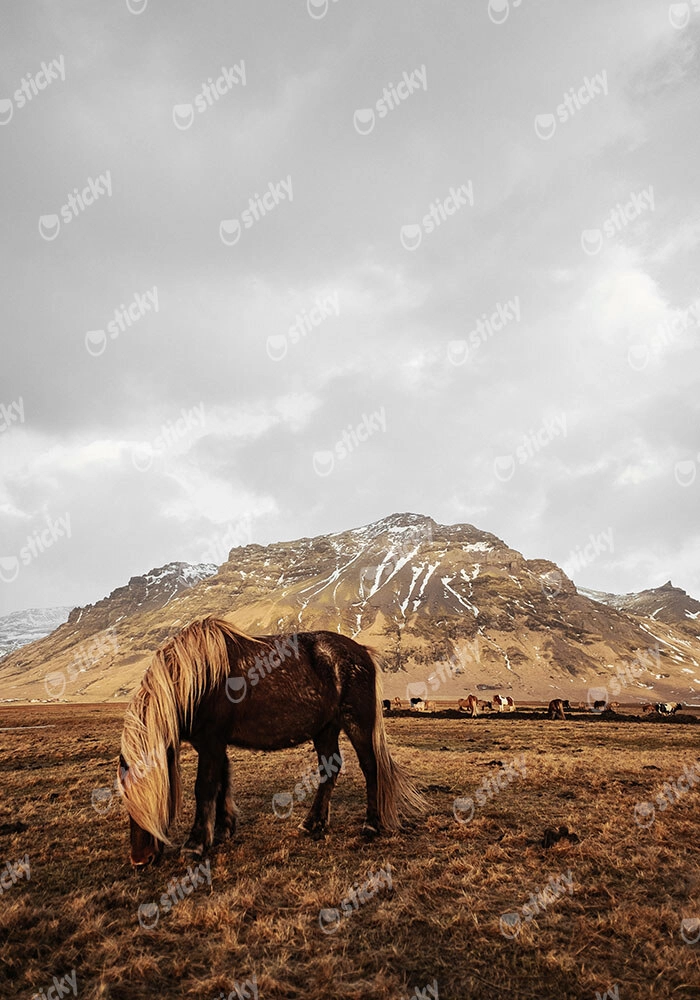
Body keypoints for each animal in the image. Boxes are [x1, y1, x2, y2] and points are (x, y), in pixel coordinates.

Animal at [117, 617, 427, 868]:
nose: (140, 860)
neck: (197, 679)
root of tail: (362, 652)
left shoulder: (211, 742)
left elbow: (205, 787)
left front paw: (195, 844)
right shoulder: (216, 744)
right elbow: (222, 782)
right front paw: (223, 830)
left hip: (356, 723)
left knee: (370, 767)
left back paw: (370, 825)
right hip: (325, 729)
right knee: (330, 770)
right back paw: (312, 823)